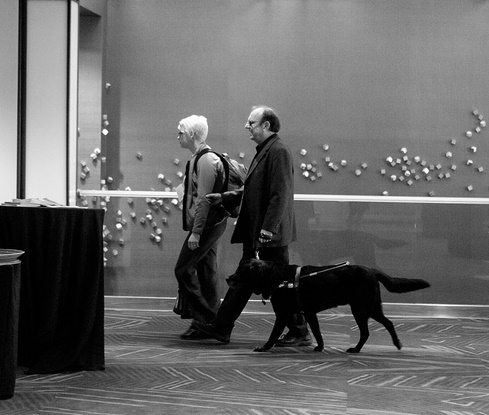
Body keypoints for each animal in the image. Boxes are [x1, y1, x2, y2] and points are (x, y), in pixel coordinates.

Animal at [227, 260, 428, 354]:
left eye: (241, 272)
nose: (228, 278)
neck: (278, 278)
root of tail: (372, 271)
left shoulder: (283, 314)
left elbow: (273, 334)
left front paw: (264, 347)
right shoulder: (309, 312)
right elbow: (317, 332)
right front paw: (320, 347)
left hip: (362, 307)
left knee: (370, 330)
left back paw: (358, 349)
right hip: (370, 307)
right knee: (387, 323)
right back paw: (395, 343)